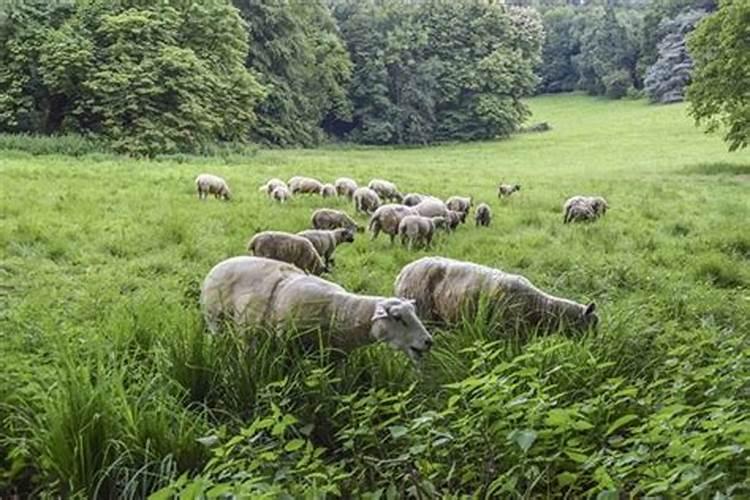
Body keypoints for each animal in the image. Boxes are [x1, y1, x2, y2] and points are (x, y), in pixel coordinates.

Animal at [200, 256, 434, 362]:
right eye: (397, 317)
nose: (428, 342)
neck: (339, 311)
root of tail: (218, 265)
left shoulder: (337, 357)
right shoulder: (287, 346)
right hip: (215, 321)